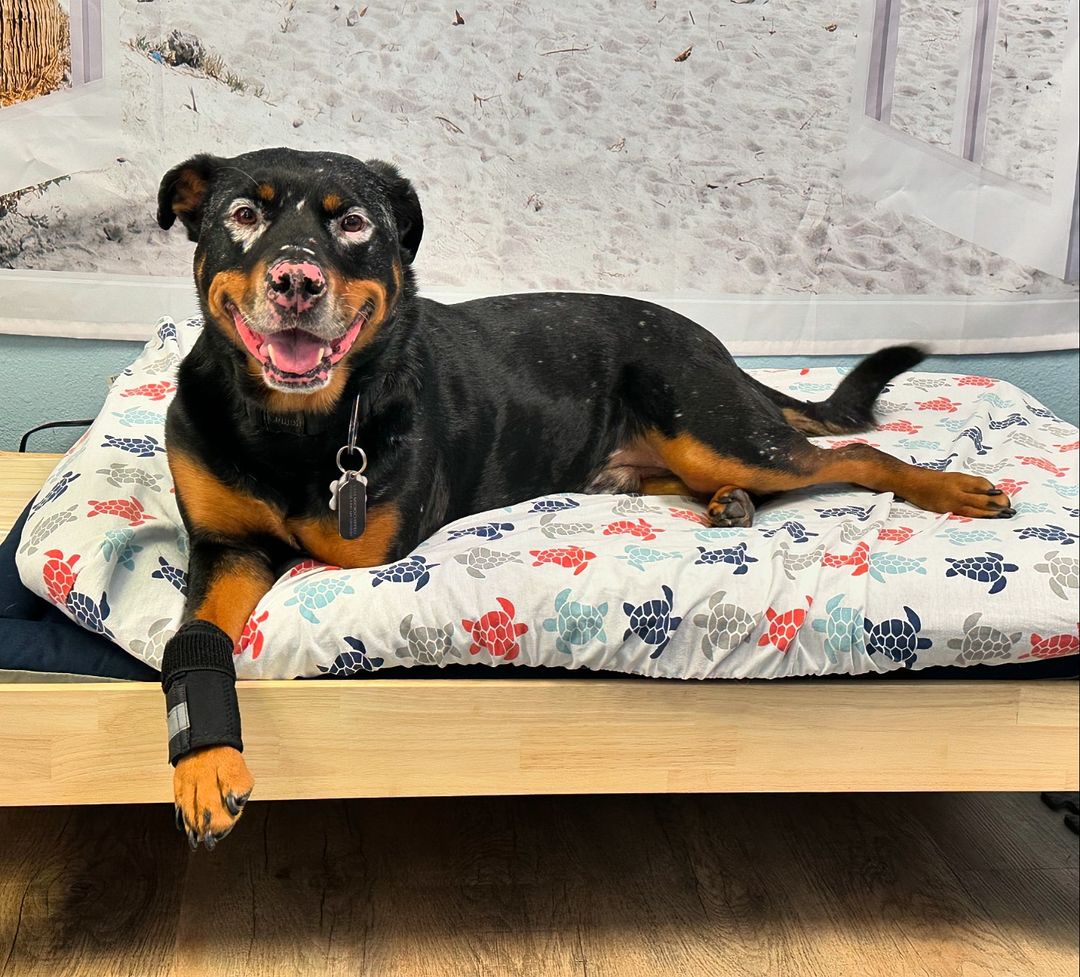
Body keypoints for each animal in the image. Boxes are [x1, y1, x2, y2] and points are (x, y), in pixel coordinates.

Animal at [157, 146, 1010, 846]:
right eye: (244, 214)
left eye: (355, 222)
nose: (296, 281)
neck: (292, 422)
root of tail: (715, 347)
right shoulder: (227, 546)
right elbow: (193, 636)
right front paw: (206, 762)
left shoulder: (359, 551)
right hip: (676, 446)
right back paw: (729, 505)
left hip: (716, 425)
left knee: (855, 452)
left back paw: (951, 486)